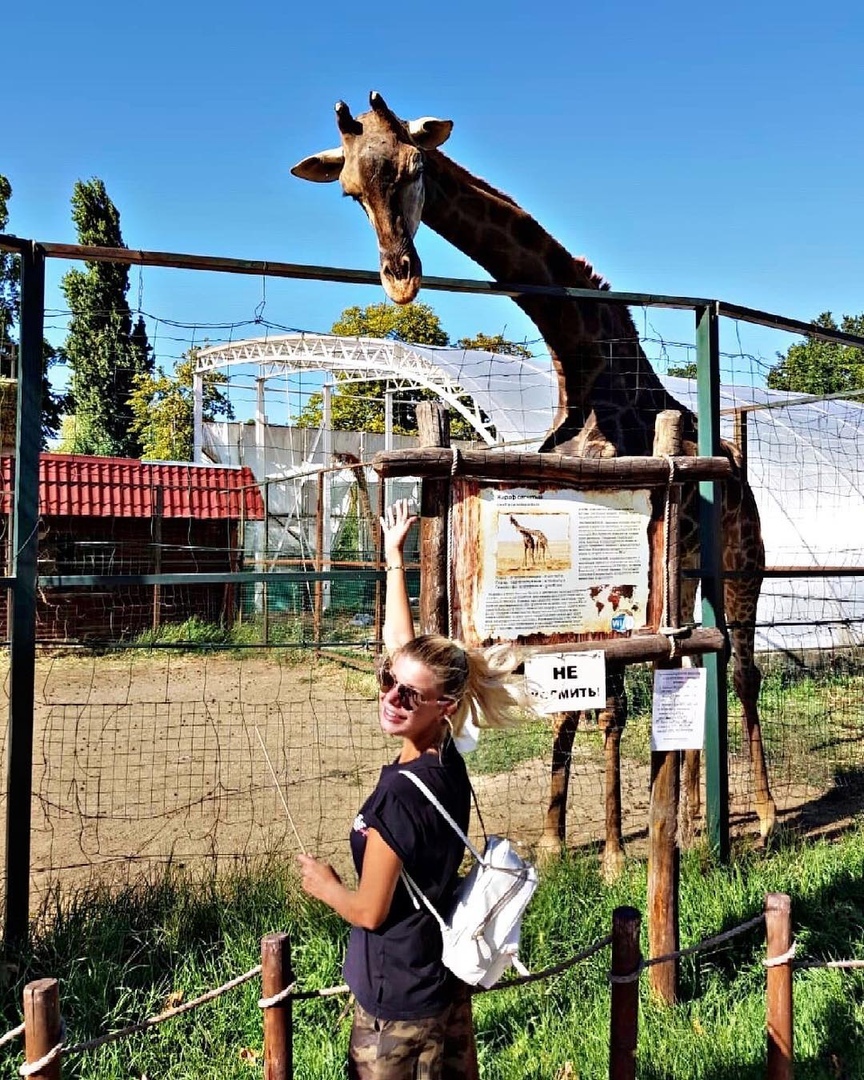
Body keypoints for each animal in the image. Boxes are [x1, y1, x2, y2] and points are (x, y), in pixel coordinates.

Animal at [295, 88, 777, 872]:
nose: (399, 276)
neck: (583, 365)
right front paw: (555, 840)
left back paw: (760, 820)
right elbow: (574, 698)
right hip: (689, 575)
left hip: (742, 565)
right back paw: (695, 819)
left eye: (413, 167)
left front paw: (611, 854)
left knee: (742, 672)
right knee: (698, 670)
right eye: (350, 189)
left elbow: (608, 705)